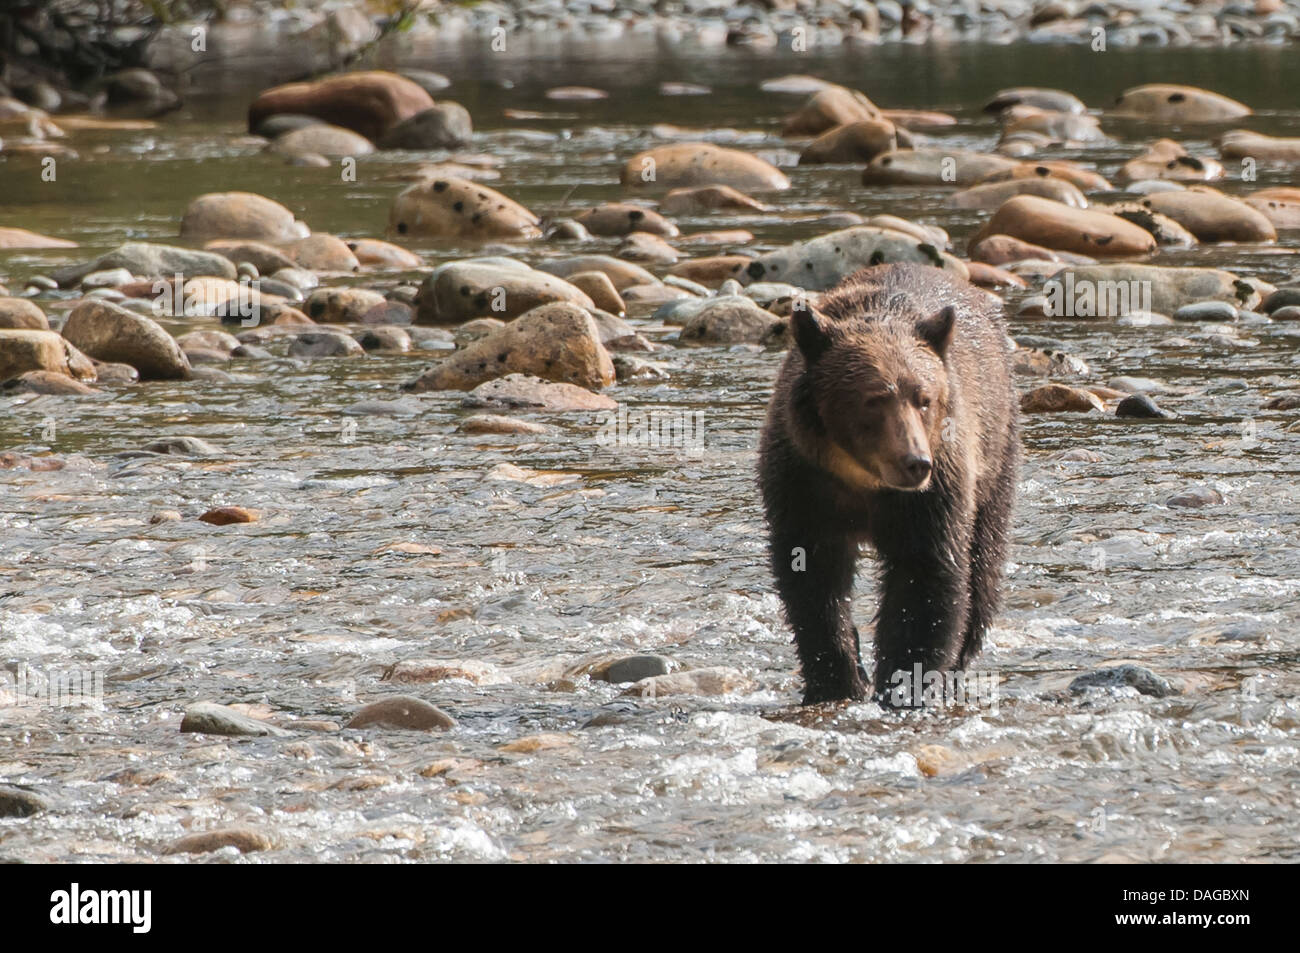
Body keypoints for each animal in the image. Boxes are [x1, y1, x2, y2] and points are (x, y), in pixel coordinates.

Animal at [759, 262, 1019, 707]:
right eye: (874, 399)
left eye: (924, 398)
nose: (915, 462)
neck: (861, 478)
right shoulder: (802, 481)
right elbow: (811, 579)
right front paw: (836, 681)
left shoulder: (935, 492)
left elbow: (925, 576)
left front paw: (903, 684)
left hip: (996, 454)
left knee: (983, 565)